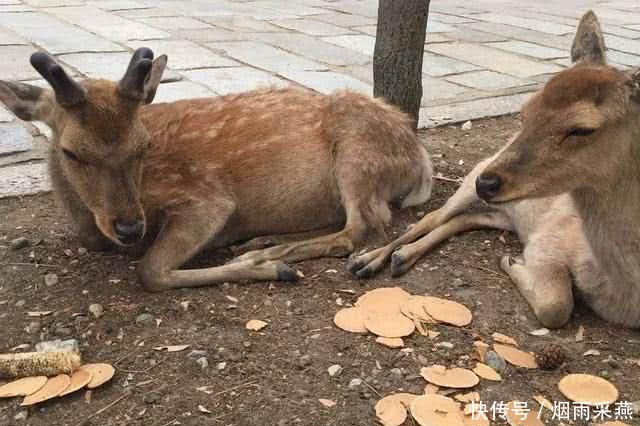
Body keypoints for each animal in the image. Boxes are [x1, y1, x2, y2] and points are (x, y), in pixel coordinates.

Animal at [0, 48, 432, 292]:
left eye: (142, 144)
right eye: (71, 152)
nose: (129, 227)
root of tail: (418, 157)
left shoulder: (206, 197)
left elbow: (149, 271)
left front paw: (267, 268)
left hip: (358, 151)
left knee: (363, 228)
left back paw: (267, 253)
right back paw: (261, 242)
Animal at [348, 10, 640, 330]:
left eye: (582, 129)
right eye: (525, 110)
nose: (486, 183)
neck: (621, 292)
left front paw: (511, 261)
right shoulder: (546, 241)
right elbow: (556, 307)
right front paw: (512, 263)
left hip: (504, 211)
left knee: (467, 219)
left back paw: (402, 258)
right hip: (472, 179)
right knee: (430, 218)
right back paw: (366, 261)